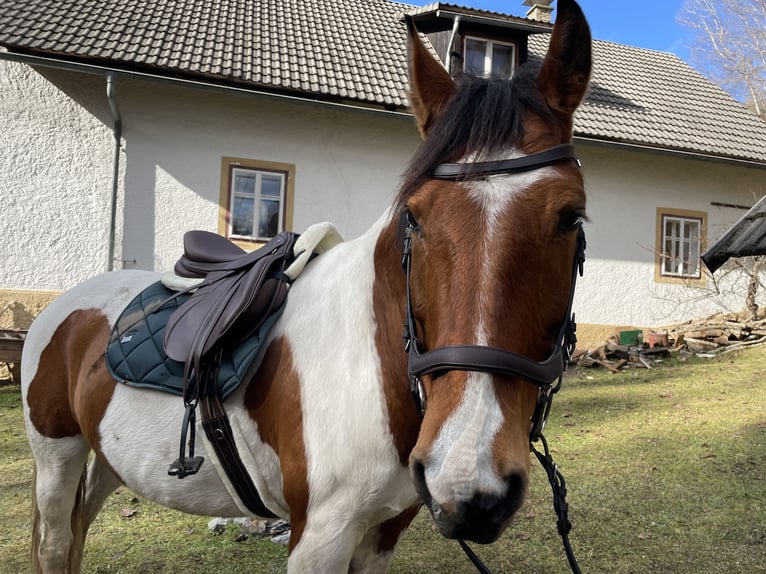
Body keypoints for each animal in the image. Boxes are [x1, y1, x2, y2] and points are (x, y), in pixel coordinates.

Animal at [18, 2, 592, 572]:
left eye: (571, 217)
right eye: (414, 217)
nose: (469, 484)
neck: (369, 366)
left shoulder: (385, 530)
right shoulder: (320, 535)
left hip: (108, 460)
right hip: (56, 456)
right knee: (56, 542)